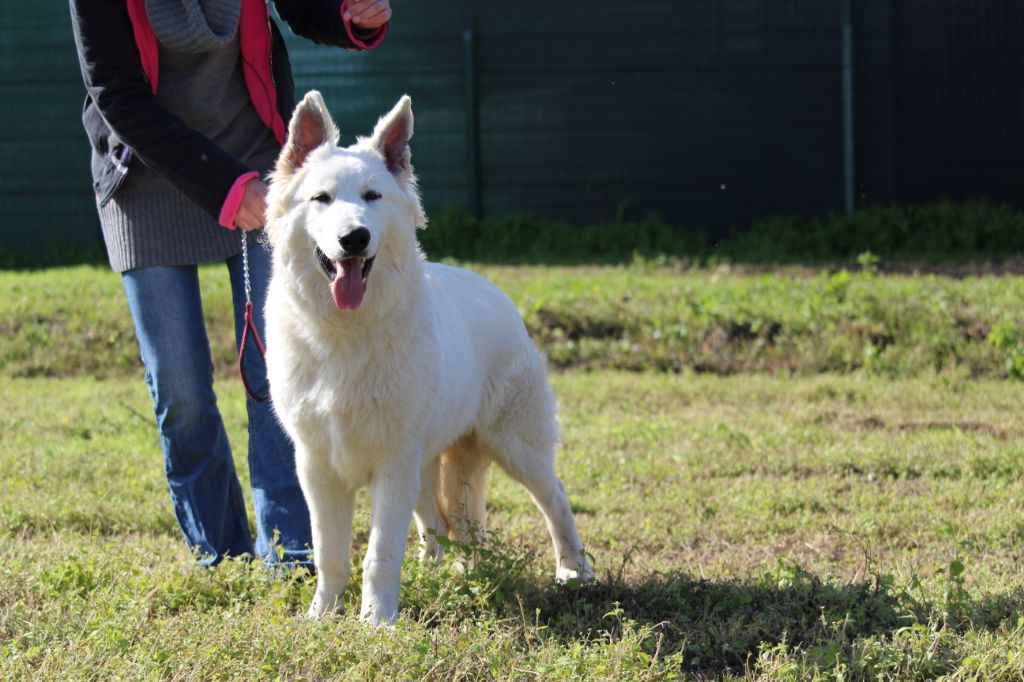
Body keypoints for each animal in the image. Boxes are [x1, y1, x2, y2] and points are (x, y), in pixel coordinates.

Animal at [264, 93, 593, 622]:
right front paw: (323, 616)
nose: (354, 238)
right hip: (428, 468)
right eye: (322, 199)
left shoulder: (392, 464)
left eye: (372, 197)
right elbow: (330, 554)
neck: (346, 332)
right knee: (440, 525)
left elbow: (379, 555)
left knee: (555, 499)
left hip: (514, 447)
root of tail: (495, 292)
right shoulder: (318, 469)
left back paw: (573, 571)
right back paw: (447, 574)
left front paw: (376, 622)